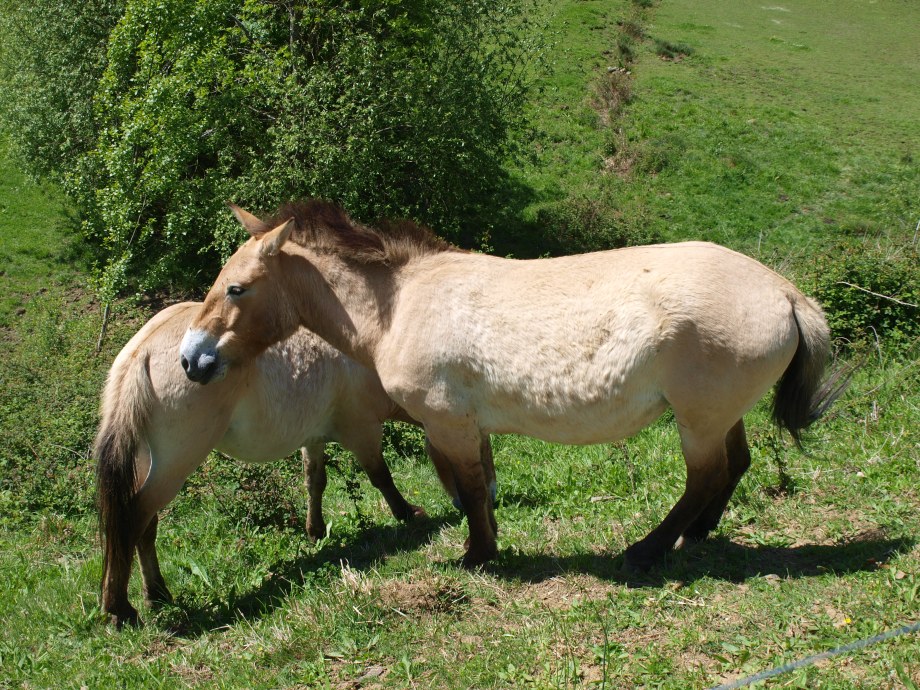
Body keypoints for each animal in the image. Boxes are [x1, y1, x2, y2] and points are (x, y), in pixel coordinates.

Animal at [96, 301, 495, 627]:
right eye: (476, 454)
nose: (489, 495)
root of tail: (143, 350)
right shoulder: (362, 429)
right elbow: (381, 476)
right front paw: (406, 513)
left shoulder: (314, 438)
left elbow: (314, 482)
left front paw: (315, 530)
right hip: (174, 465)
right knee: (132, 518)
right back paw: (120, 607)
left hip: (150, 465)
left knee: (144, 527)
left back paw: (157, 593)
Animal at [179, 200, 848, 571]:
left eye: (236, 287)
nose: (191, 359)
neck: (399, 306)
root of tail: (784, 292)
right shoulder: (461, 426)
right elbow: (474, 484)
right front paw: (487, 544)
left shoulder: (447, 422)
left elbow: (473, 489)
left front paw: (478, 555)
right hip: (716, 414)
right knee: (735, 464)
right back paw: (695, 534)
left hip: (697, 419)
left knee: (706, 476)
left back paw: (648, 548)